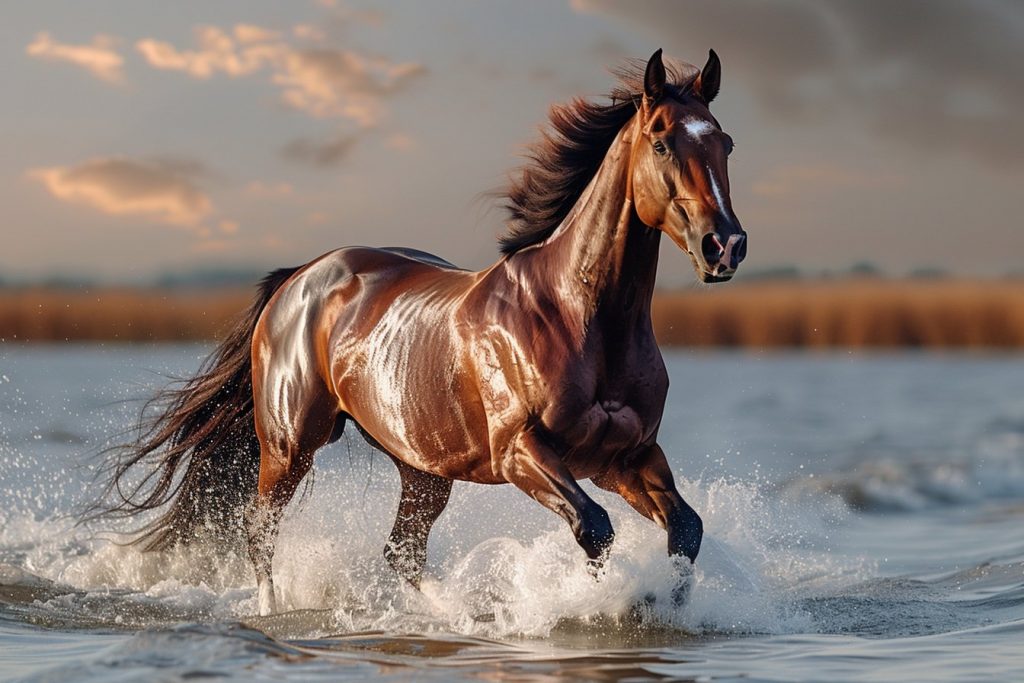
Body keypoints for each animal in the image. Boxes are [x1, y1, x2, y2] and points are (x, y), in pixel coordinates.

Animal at [97, 49, 747, 616]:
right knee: (263, 537)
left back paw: (456, 614)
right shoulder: (521, 451)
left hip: (421, 467)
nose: (725, 245)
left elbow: (685, 528)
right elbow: (595, 527)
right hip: (289, 446)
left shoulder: (624, 457)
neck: (581, 319)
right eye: (661, 141)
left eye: (725, 142)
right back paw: (276, 614)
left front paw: (662, 607)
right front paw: (606, 606)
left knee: (401, 552)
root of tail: (297, 279)